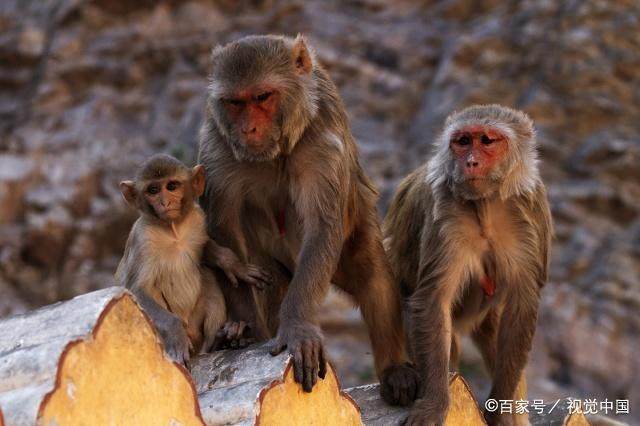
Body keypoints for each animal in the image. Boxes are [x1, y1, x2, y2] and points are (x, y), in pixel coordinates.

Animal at [115, 154, 270, 362]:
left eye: (172, 186)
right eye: (153, 190)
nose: (165, 202)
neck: (173, 231)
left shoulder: (197, 219)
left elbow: (205, 247)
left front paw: (234, 265)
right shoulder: (142, 239)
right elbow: (137, 289)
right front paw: (175, 333)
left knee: (209, 277)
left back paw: (219, 341)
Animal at [199, 34, 420, 402]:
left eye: (262, 96)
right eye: (234, 102)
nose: (248, 130)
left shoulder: (321, 143)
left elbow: (322, 225)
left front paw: (297, 328)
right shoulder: (218, 148)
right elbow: (225, 232)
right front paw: (243, 330)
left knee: (373, 274)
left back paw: (396, 369)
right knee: (269, 277)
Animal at [384, 104, 556, 426]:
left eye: (487, 140)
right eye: (463, 141)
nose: (471, 162)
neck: (486, 204)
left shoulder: (532, 210)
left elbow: (522, 305)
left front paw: (501, 412)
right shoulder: (444, 213)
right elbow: (433, 300)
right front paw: (435, 404)